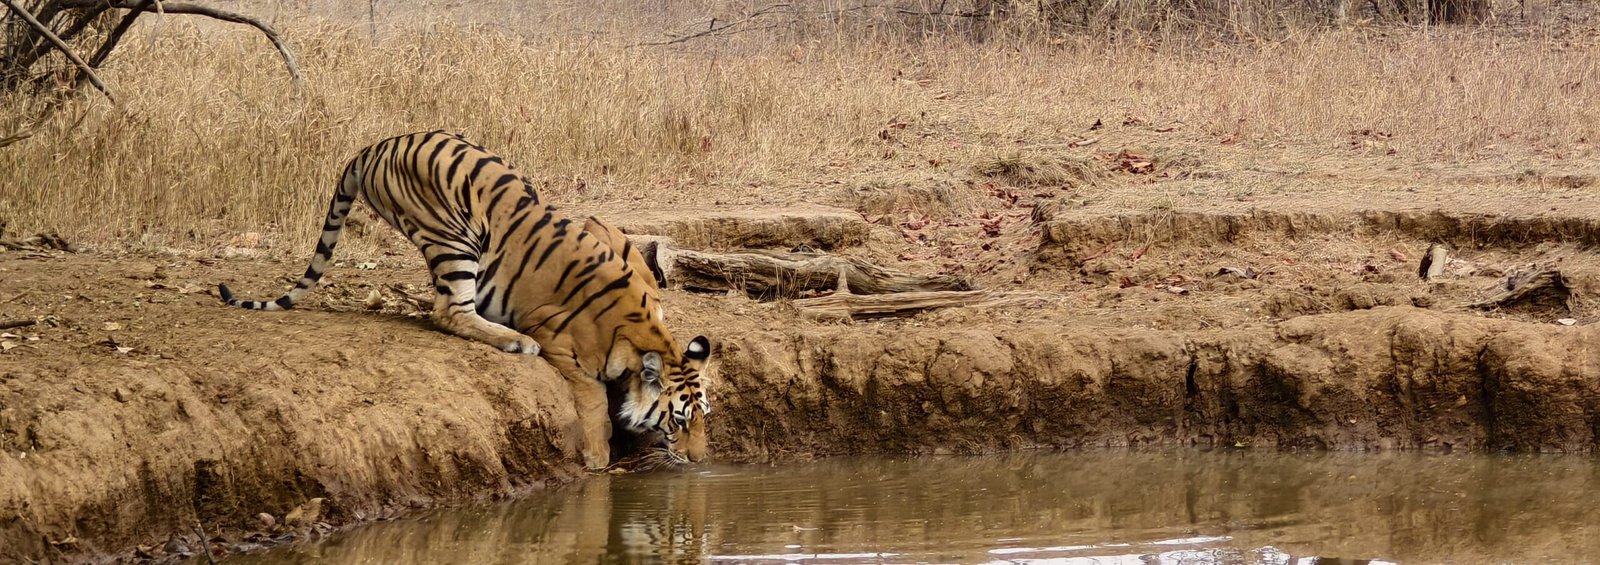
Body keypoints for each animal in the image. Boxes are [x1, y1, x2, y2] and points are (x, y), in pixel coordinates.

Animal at [217, 130, 712, 470]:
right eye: (679, 421)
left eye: (704, 416)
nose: (701, 460)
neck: (644, 332)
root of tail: (375, 146)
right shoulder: (558, 337)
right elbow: (592, 396)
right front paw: (596, 455)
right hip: (454, 236)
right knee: (449, 311)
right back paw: (515, 341)